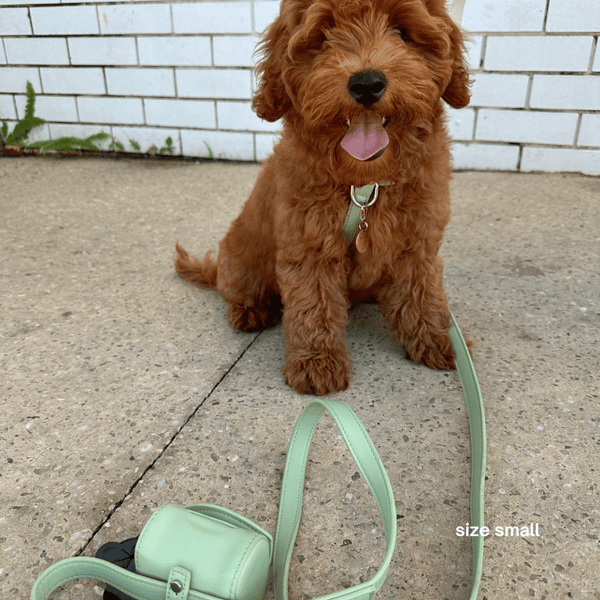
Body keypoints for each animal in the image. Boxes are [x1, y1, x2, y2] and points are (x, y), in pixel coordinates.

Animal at [176, 0, 472, 394]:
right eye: (323, 37)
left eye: (402, 32)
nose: (366, 83)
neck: (364, 186)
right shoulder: (309, 244)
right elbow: (313, 303)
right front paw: (316, 363)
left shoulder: (417, 240)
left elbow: (422, 291)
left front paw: (437, 339)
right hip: (243, 264)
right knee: (237, 291)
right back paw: (251, 312)